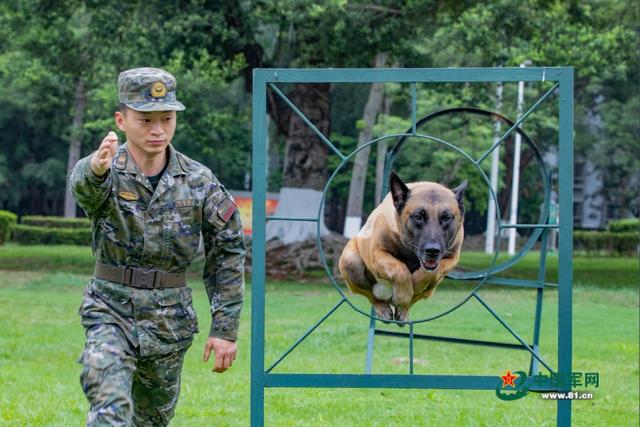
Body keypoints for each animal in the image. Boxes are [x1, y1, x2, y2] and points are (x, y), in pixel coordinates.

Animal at [338, 172, 468, 322]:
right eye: (418, 217)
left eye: (447, 217)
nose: (432, 250)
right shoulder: (377, 254)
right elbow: (399, 268)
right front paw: (403, 294)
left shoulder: (451, 259)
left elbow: (432, 272)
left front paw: (415, 285)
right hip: (350, 261)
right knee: (371, 295)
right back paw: (383, 308)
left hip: (433, 287)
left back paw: (403, 309)